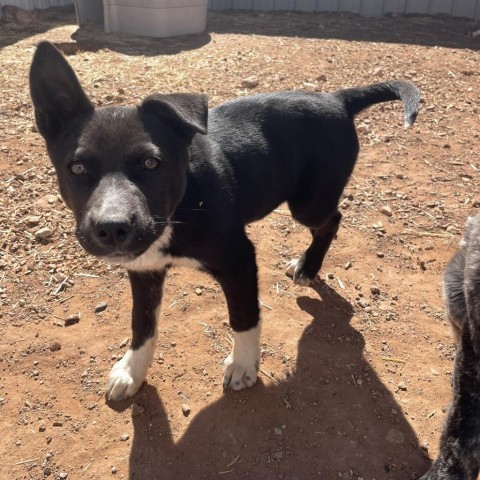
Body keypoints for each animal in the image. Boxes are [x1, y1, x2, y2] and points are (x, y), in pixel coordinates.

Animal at [30, 41, 420, 402]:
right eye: (77, 168)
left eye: (152, 163)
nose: (111, 229)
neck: (182, 203)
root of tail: (336, 99)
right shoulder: (144, 268)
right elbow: (142, 324)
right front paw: (132, 370)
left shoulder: (239, 259)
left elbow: (244, 316)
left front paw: (244, 366)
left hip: (309, 203)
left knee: (332, 219)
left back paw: (308, 267)